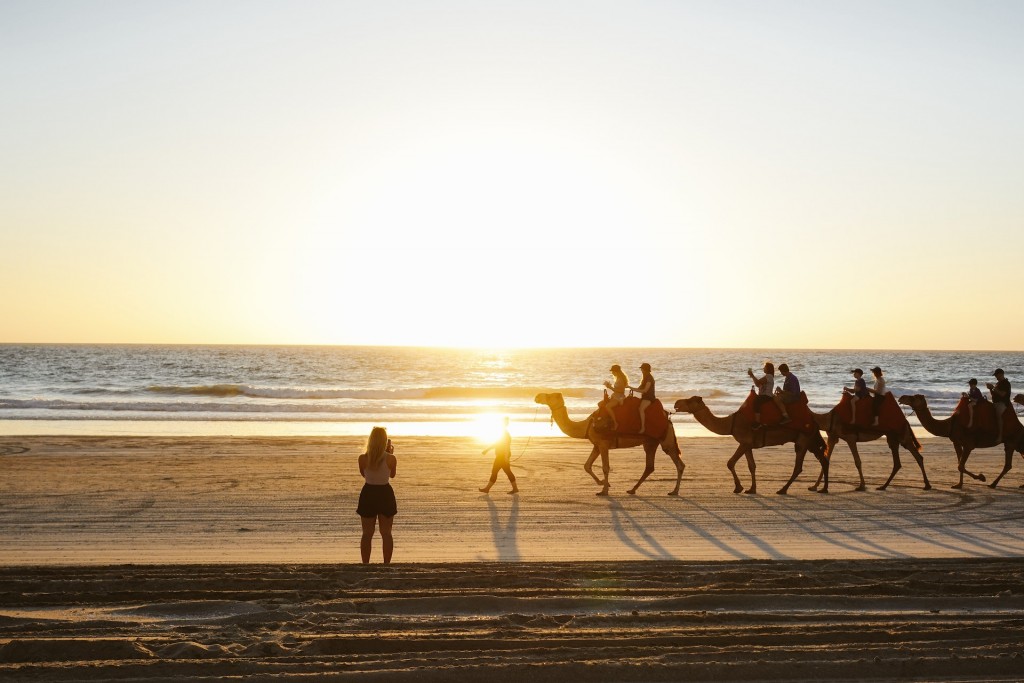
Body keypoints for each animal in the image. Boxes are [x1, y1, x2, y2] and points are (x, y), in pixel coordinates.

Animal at [532, 395, 684, 497]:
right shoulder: (597, 445)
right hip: (650, 442)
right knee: (651, 466)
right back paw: (633, 489)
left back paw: (674, 491)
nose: (537, 396)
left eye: (549, 395)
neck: (587, 425)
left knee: (676, 463)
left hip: (664, 439)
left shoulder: (603, 444)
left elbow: (605, 467)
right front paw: (603, 484)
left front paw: (604, 490)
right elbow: (587, 465)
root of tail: (668, 418)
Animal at [671, 395, 831, 497]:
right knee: (823, 459)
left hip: (803, 439)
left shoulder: (744, 441)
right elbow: (751, 466)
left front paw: (738, 487)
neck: (730, 423)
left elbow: (730, 463)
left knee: (799, 466)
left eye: (690, 400)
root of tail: (814, 420)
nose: (676, 402)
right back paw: (821, 488)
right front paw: (751, 489)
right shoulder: (748, 444)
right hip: (810, 441)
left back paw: (783, 490)